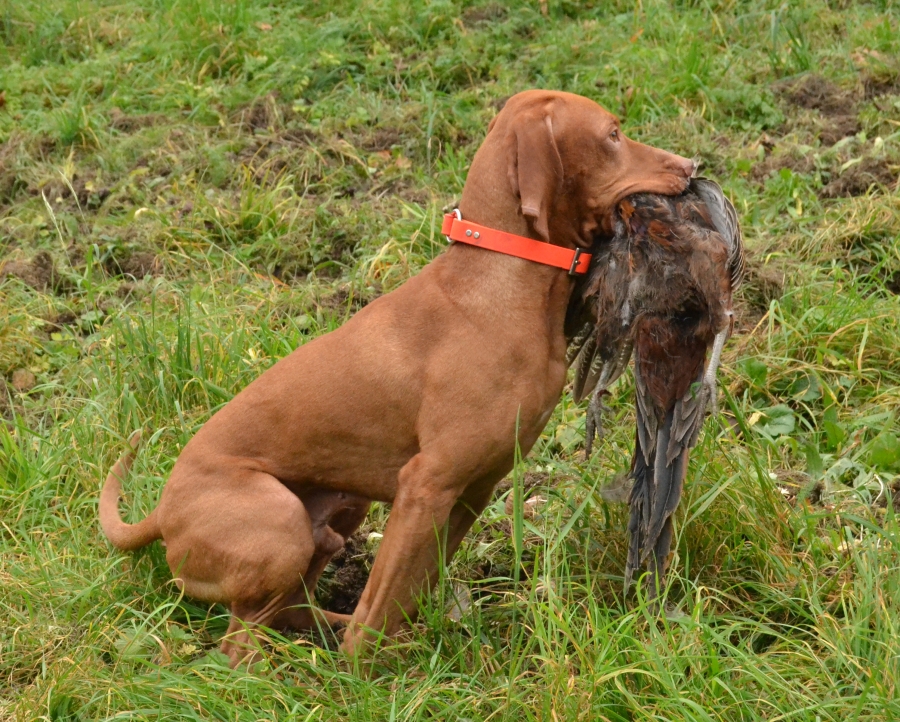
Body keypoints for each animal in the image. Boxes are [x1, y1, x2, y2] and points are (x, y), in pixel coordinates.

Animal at [100, 89, 694, 666]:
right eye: (613, 134)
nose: (692, 166)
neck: (501, 283)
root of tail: (160, 513)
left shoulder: (471, 491)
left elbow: (411, 590)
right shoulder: (424, 486)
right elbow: (380, 603)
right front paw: (359, 679)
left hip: (340, 512)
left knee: (286, 610)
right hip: (279, 524)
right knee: (237, 643)